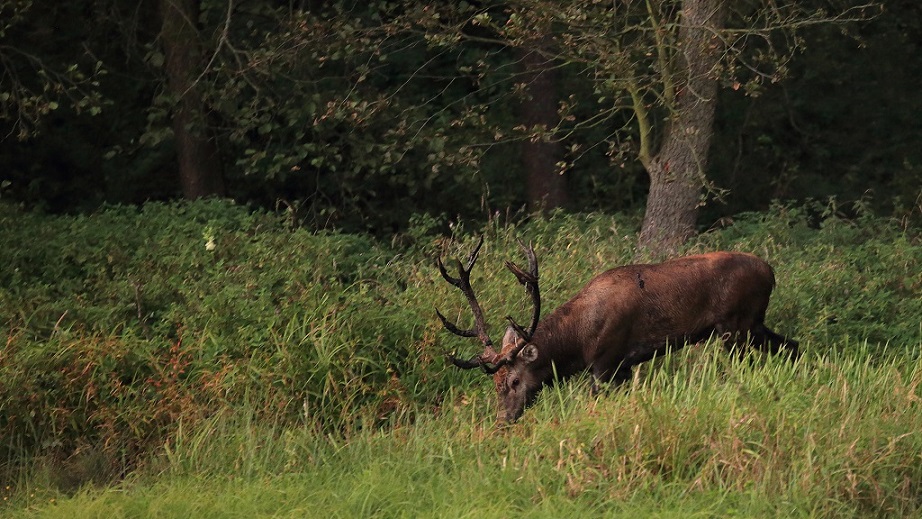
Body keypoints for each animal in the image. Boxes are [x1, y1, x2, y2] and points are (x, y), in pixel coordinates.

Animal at [436, 237, 799, 422]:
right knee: (791, 345)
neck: (579, 342)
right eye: (494, 384)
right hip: (754, 323)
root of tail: (771, 272)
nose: (504, 419)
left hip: (735, 326)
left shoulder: (606, 362)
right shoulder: (623, 367)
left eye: (513, 381)